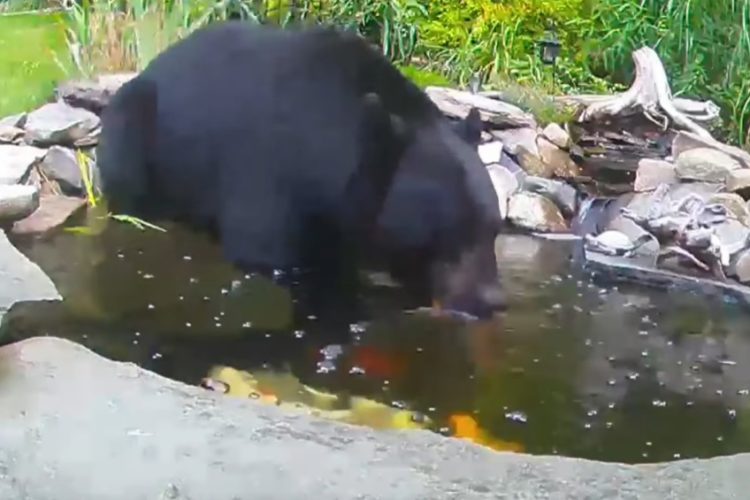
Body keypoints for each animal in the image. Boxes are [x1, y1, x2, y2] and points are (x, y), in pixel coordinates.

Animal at [95, 21, 506, 318]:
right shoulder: (268, 166)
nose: (493, 301)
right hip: (136, 123)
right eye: (455, 232)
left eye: (493, 229)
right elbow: (264, 250)